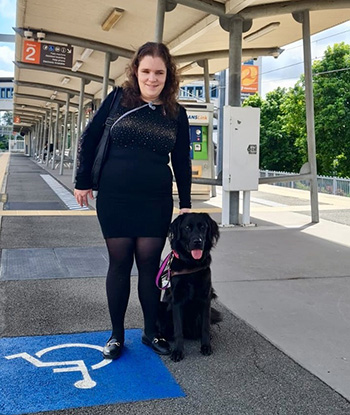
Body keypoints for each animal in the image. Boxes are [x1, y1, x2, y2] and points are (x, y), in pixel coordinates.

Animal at [159, 213, 221, 362]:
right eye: (187, 228)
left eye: (203, 227)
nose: (197, 241)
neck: (191, 264)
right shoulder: (176, 301)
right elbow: (178, 330)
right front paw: (178, 351)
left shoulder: (205, 298)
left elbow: (205, 327)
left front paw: (206, 346)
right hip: (163, 307)